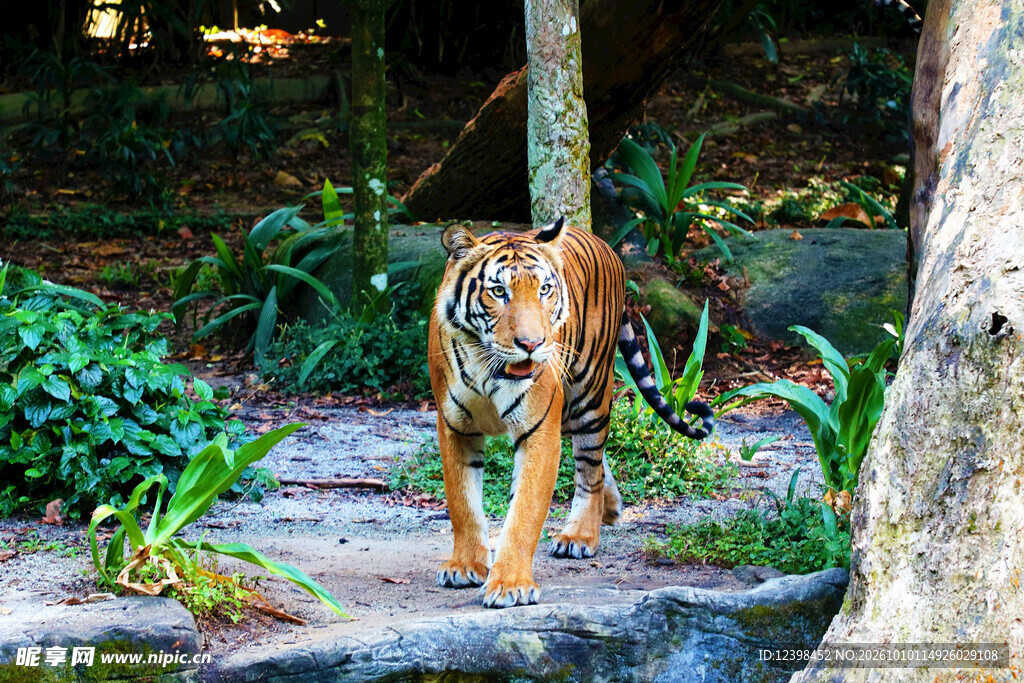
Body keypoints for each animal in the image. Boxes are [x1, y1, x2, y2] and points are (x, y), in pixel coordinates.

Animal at [428, 217, 715, 609]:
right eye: (499, 292)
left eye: (544, 290)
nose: (532, 345)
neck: (489, 367)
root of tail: (607, 245)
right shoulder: (455, 427)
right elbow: (463, 503)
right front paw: (465, 565)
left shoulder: (539, 430)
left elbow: (525, 512)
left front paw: (510, 585)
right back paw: (611, 506)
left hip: (588, 395)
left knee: (590, 470)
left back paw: (580, 535)